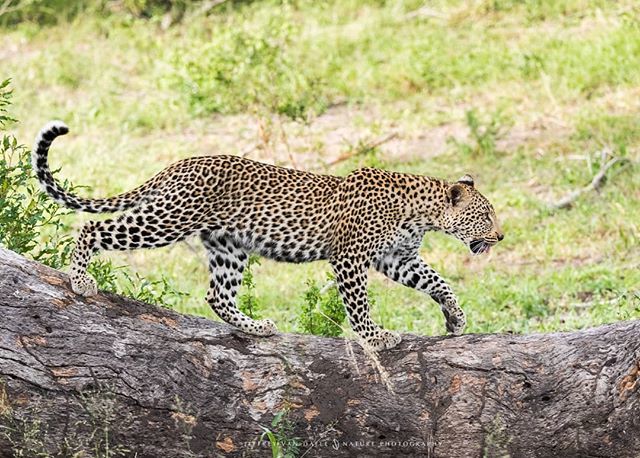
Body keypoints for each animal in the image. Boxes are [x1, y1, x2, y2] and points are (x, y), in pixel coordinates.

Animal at [33, 120, 503, 351]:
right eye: (485, 214)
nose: (500, 237)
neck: (421, 213)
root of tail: (178, 164)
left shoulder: (397, 259)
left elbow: (438, 282)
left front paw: (455, 318)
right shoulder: (350, 257)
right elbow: (359, 306)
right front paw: (376, 339)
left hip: (228, 246)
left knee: (217, 295)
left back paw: (257, 328)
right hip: (168, 219)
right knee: (93, 227)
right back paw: (80, 279)